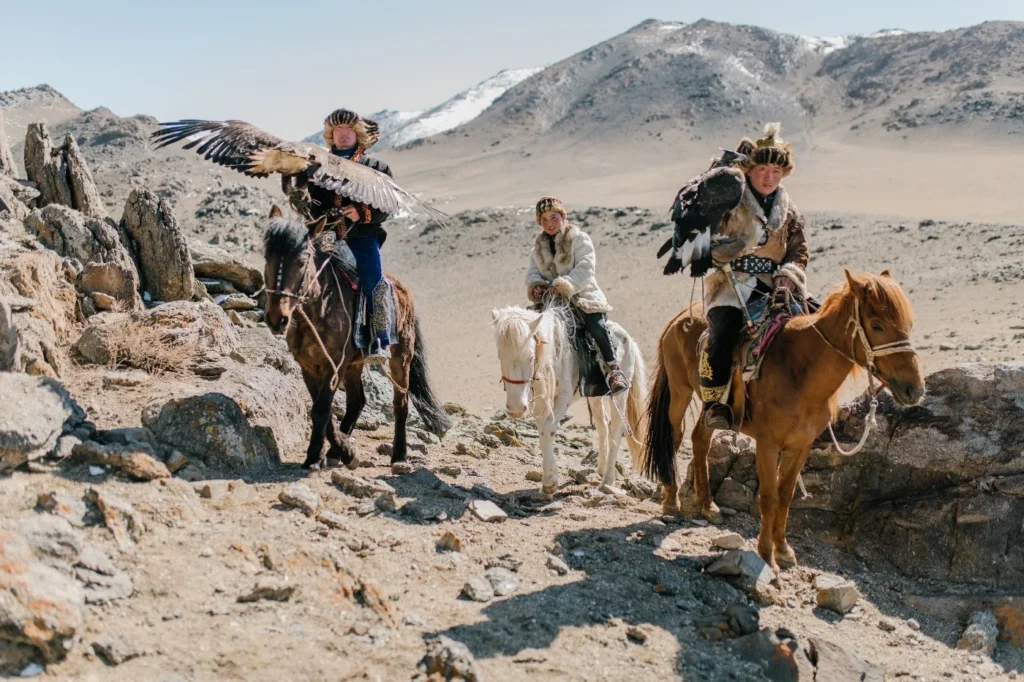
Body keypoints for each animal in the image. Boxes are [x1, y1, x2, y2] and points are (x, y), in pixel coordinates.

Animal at [260, 206, 448, 471]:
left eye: (302, 261)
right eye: (268, 258)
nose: (277, 319)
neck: (320, 307)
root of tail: (404, 290)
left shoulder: (334, 364)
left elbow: (321, 409)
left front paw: (327, 455)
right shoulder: (309, 366)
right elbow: (322, 409)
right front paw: (330, 453)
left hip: (401, 358)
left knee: (400, 404)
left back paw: (399, 455)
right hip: (354, 364)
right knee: (357, 401)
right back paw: (335, 453)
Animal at [489, 303, 647, 493]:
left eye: (531, 357)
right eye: (500, 355)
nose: (516, 408)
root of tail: (628, 338)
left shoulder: (563, 396)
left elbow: (548, 428)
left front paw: (549, 484)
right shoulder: (541, 399)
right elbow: (543, 429)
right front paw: (550, 479)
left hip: (619, 393)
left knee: (615, 428)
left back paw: (607, 481)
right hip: (595, 394)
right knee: (602, 424)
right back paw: (601, 469)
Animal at [638, 270, 921, 569]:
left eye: (908, 324)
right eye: (877, 325)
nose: (915, 389)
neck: (800, 371)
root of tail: (680, 317)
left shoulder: (801, 446)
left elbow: (785, 497)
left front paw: (783, 550)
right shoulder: (767, 444)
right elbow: (768, 497)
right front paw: (765, 555)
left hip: (709, 407)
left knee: (699, 439)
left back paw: (708, 506)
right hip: (680, 390)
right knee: (674, 436)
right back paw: (671, 501)